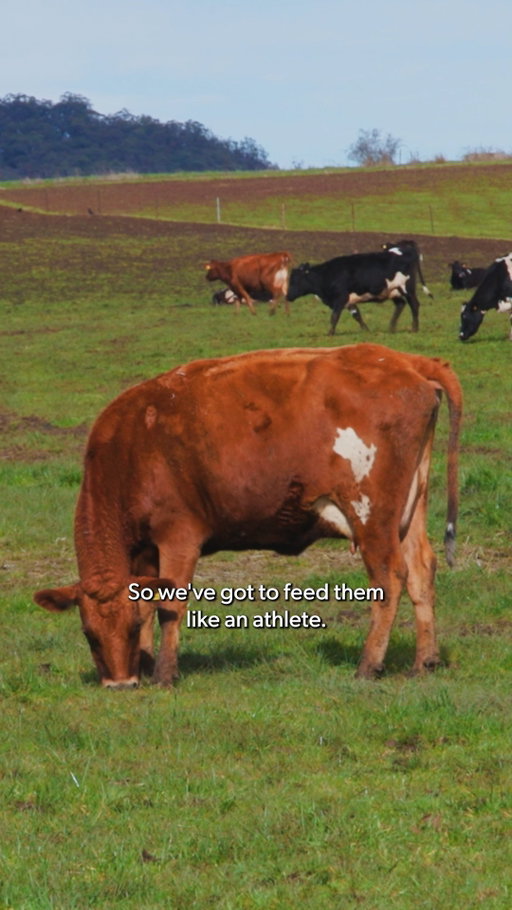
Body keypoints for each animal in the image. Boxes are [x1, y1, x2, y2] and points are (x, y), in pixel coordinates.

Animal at [34, 343, 462, 688]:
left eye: (128, 627)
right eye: (89, 634)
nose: (120, 685)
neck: (131, 447)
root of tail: (403, 359)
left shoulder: (178, 537)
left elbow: (170, 607)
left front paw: (165, 674)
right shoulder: (144, 552)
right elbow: (148, 601)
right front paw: (147, 663)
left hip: (371, 514)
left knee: (388, 579)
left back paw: (368, 665)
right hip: (409, 508)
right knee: (421, 570)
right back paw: (425, 662)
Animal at [287, 240, 431, 335]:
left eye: (295, 280)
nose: (287, 296)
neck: (328, 274)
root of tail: (407, 248)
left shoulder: (340, 297)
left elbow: (334, 316)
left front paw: (330, 333)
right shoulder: (348, 300)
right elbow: (357, 315)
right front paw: (366, 331)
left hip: (407, 288)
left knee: (414, 305)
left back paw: (414, 329)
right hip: (392, 290)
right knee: (400, 304)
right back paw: (391, 329)